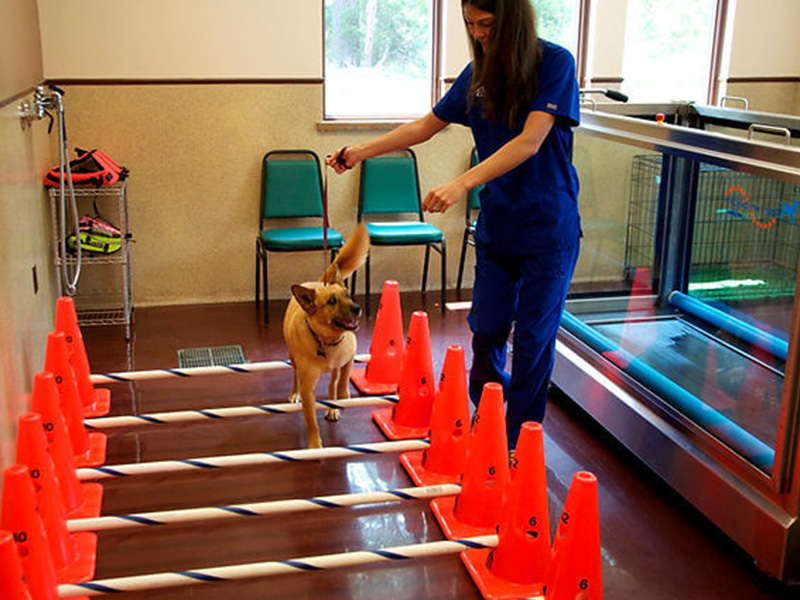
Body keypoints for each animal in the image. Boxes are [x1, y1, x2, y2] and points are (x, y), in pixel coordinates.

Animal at [282, 225, 368, 450]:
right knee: (295, 376)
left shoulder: (350, 356)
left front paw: (343, 396)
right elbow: (311, 420)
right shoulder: (308, 387)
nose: (358, 309)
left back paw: (333, 406)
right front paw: (315, 446)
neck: (327, 341)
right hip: (293, 359)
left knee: (333, 383)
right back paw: (294, 394)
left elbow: (344, 378)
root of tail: (318, 283)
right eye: (331, 301)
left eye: (348, 294)